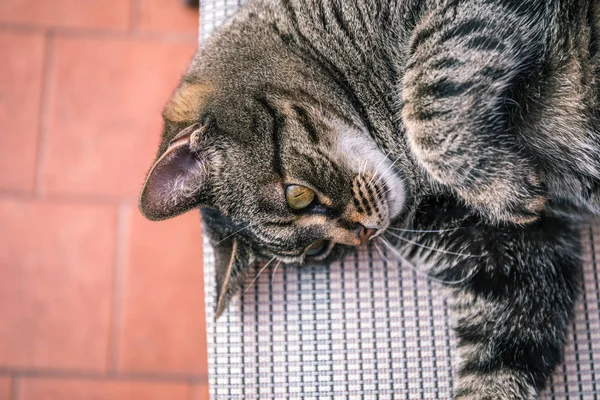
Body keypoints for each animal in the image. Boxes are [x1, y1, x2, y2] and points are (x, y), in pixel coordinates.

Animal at [138, 1, 600, 398]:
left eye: (298, 195)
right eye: (318, 250)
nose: (362, 233)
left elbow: (428, 96)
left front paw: (503, 186)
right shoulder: (511, 255)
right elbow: (502, 362)